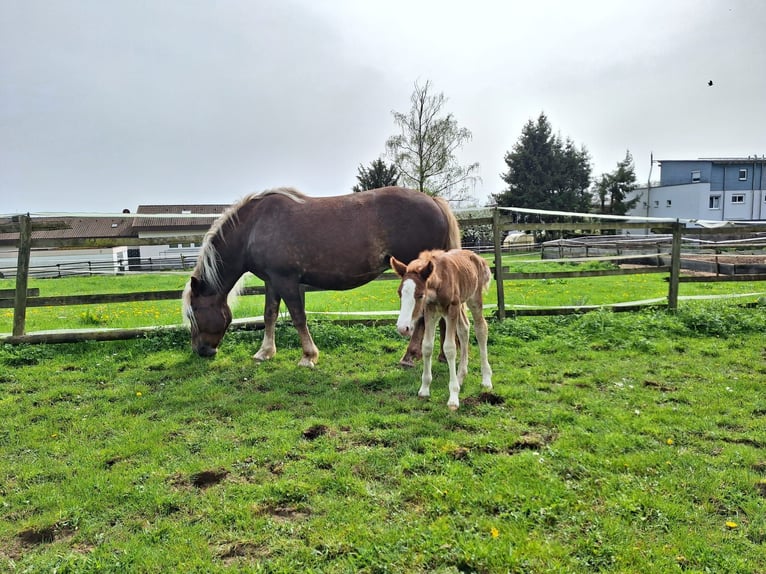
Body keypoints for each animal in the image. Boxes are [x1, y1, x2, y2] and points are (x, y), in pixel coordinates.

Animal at [184, 188, 462, 368]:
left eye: (194, 312)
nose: (201, 350)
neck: (254, 227)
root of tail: (434, 201)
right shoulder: (271, 281)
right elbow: (269, 315)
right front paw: (265, 352)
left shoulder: (286, 281)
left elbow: (298, 317)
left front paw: (308, 356)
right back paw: (440, 356)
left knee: (423, 317)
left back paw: (410, 356)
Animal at [392, 250, 496, 412]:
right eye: (400, 293)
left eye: (420, 295)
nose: (403, 328)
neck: (439, 281)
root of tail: (477, 257)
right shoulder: (430, 311)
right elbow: (427, 346)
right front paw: (424, 389)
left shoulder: (451, 309)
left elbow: (450, 348)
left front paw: (453, 398)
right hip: (460, 304)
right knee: (464, 329)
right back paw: (460, 376)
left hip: (473, 299)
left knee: (481, 329)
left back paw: (486, 379)